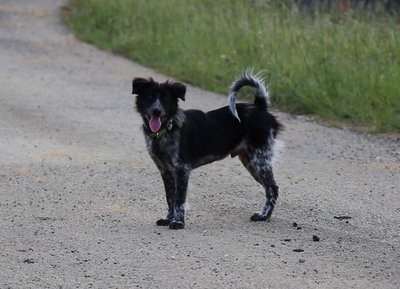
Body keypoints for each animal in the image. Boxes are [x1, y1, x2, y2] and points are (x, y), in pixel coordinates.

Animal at [133, 71, 282, 228]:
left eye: (165, 99)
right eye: (149, 98)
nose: (156, 111)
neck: (167, 129)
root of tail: (259, 107)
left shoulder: (182, 170)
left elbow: (179, 200)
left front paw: (178, 222)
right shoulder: (165, 171)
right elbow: (170, 198)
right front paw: (168, 219)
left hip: (260, 160)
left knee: (272, 188)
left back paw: (263, 215)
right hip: (251, 162)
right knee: (270, 188)